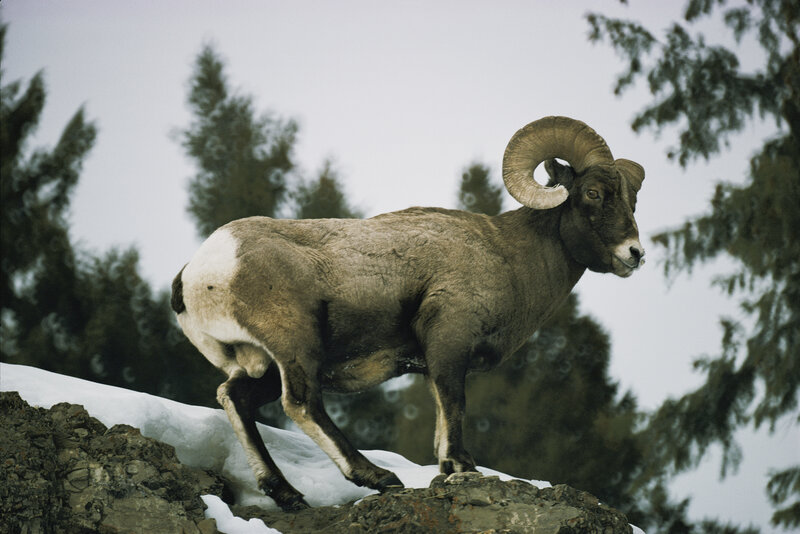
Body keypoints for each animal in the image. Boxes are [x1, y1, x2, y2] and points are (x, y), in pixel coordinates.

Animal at [171, 116, 645, 511]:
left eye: (632, 200)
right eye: (593, 193)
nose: (635, 254)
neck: (510, 256)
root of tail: (201, 269)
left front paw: (447, 470)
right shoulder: (449, 343)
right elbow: (453, 406)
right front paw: (461, 467)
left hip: (262, 367)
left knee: (236, 399)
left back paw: (288, 495)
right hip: (296, 347)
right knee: (303, 404)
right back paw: (377, 477)